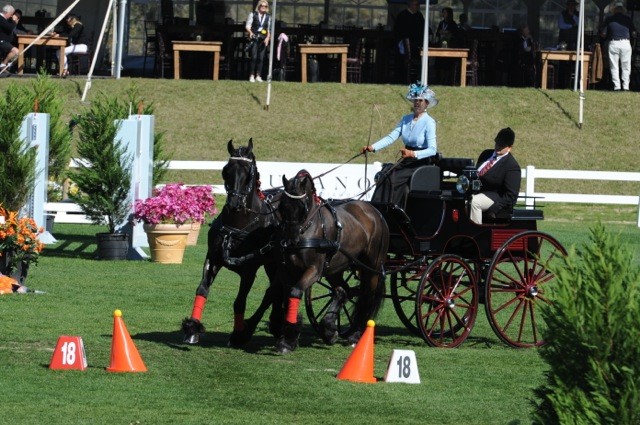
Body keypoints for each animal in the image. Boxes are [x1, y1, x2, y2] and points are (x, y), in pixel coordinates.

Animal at [180, 139, 280, 344]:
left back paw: (253, 328)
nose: (234, 204)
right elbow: (202, 290)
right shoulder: (213, 259)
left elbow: (239, 302)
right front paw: (192, 329)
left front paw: (237, 335)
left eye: (249, 173)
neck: (237, 224)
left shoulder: (249, 270)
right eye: (226, 170)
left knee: (272, 292)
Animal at [276, 169, 388, 352]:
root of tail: (375, 211)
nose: (291, 240)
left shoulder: (314, 270)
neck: (309, 228)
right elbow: (289, 296)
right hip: (335, 267)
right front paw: (289, 339)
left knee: (366, 297)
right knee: (342, 291)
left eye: (302, 207)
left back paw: (355, 335)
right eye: (282, 206)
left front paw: (289, 338)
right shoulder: (289, 271)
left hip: (372, 267)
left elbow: (295, 291)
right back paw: (329, 329)